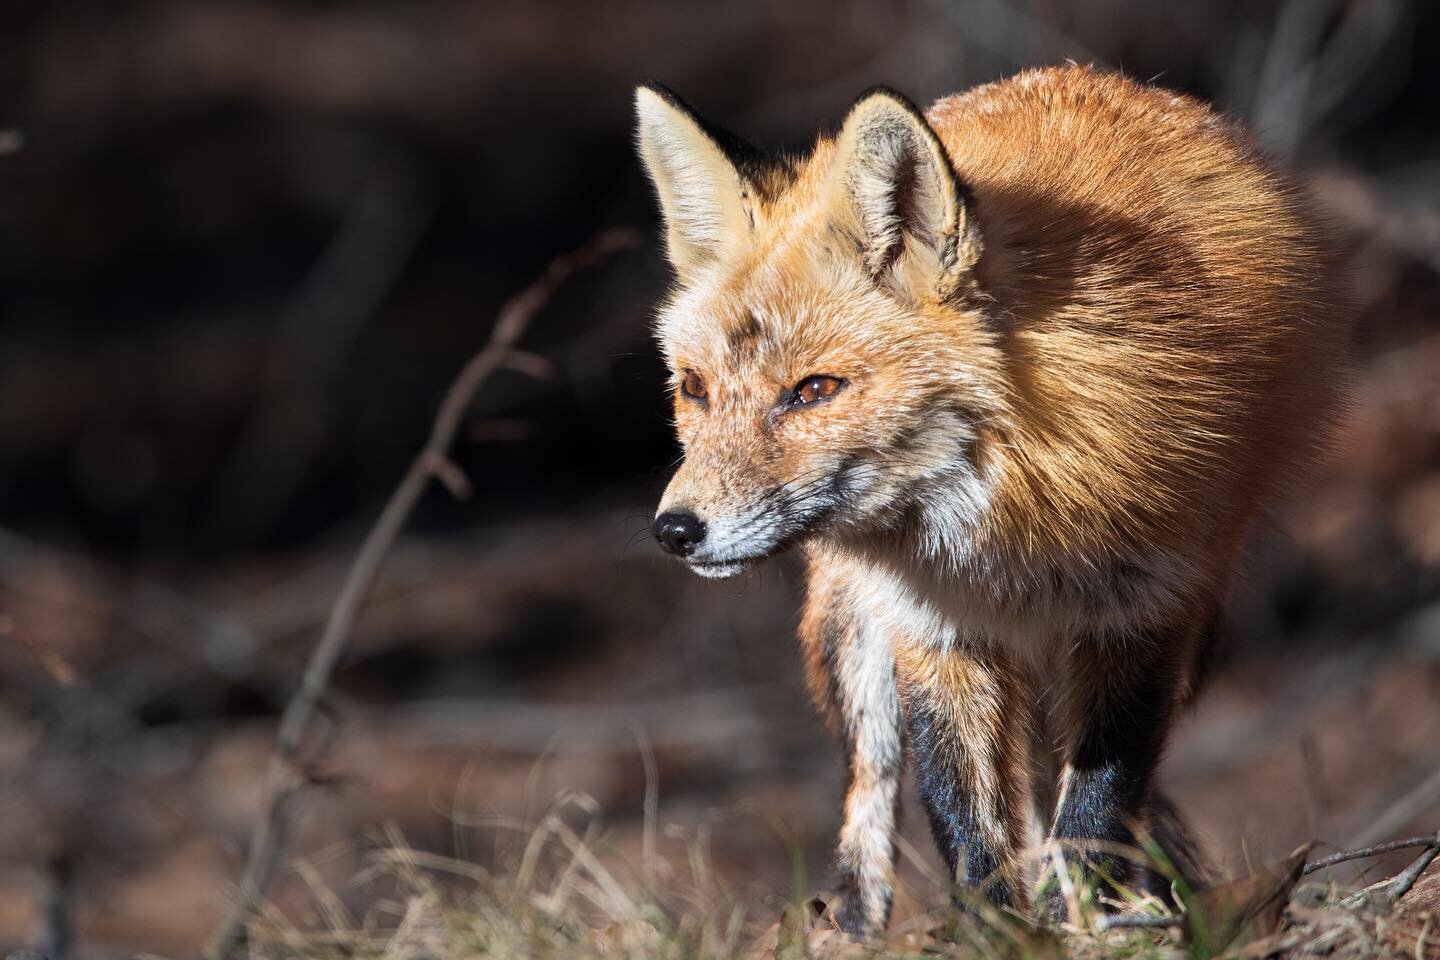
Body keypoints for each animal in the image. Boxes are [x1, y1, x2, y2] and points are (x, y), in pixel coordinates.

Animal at [636, 67, 1342, 938]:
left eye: (815, 390)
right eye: (693, 389)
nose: (675, 530)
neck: (1015, 515)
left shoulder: (1149, 608)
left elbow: (1099, 803)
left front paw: (1081, 918)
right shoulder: (933, 626)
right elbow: (965, 817)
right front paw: (1000, 932)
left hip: (1195, 631)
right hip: (852, 637)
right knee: (870, 796)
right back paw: (852, 927)